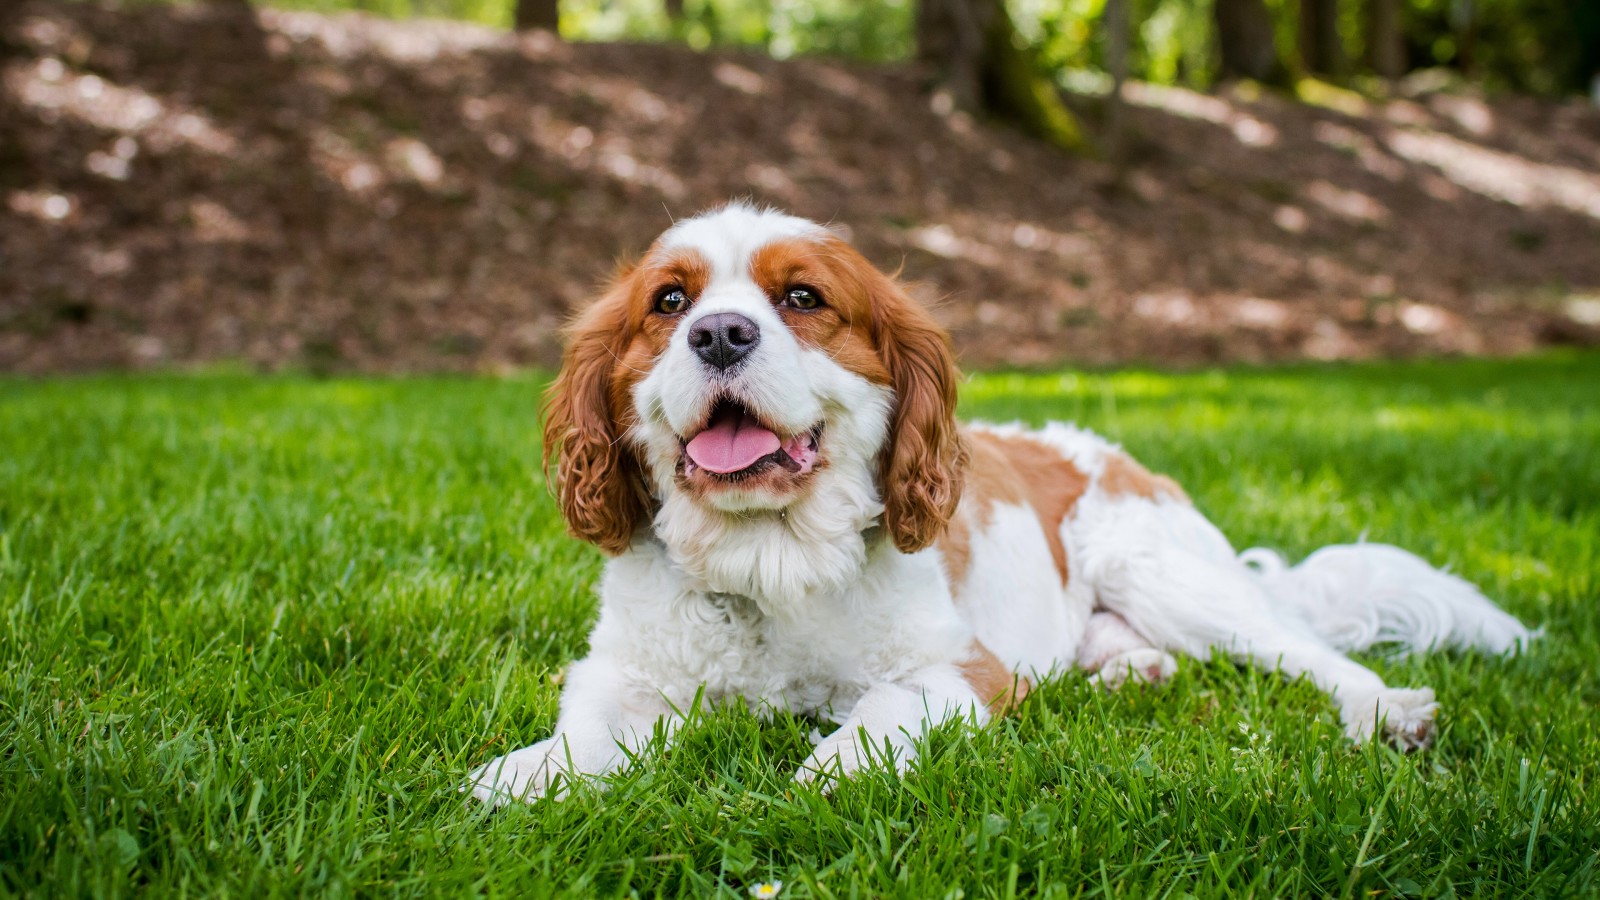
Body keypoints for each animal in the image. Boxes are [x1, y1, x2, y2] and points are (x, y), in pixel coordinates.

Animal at [460, 201, 1523, 797]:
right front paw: (526, 774)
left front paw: (829, 768)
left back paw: (1385, 711)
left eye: (802, 299)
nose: (720, 334)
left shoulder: (963, 673)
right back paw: (1126, 670)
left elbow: (880, 711)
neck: (771, 564)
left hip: (1166, 572)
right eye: (669, 304)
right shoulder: (624, 673)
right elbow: (587, 733)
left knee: (1305, 652)